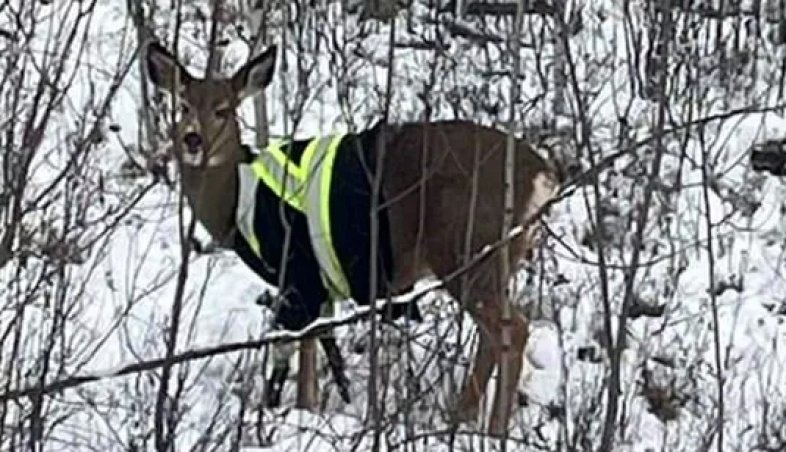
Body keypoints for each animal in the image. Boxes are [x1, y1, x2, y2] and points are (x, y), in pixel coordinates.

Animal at [144, 40, 560, 436]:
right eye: (183, 105)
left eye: (223, 110)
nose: (193, 139)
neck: (236, 199)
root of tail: (542, 177)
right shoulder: (316, 282)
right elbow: (317, 343)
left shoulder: (298, 270)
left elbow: (303, 348)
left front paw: (302, 411)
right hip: (494, 260)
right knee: (494, 335)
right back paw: (462, 418)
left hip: (468, 249)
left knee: (513, 330)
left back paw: (489, 430)